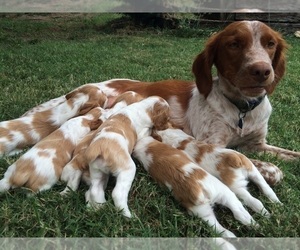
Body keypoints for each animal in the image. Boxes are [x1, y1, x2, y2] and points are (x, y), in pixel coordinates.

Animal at [152, 128, 282, 216]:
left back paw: (265, 213)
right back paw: (277, 203)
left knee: (253, 201)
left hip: (237, 187)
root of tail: (235, 160)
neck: (181, 140)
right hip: (253, 172)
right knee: (266, 189)